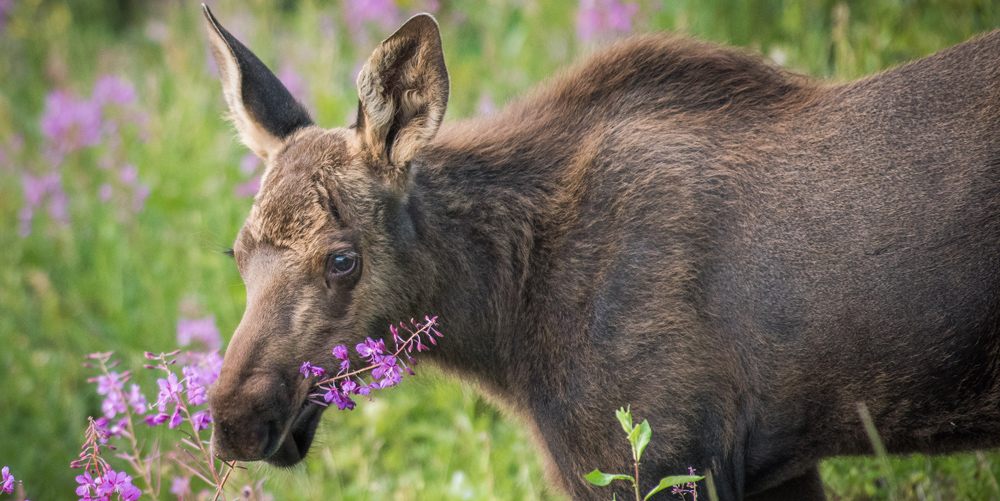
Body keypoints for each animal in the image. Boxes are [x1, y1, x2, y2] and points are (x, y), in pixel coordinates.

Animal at [199, 4, 1000, 500]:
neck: (503, 324)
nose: (234, 418)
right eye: (235, 254)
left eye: (342, 259)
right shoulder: (776, 468)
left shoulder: (658, 456)